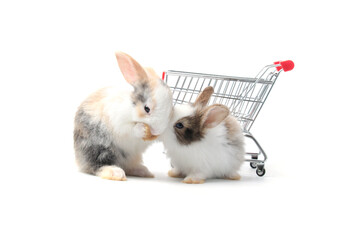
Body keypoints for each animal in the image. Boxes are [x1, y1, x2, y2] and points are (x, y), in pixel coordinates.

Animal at [73, 52, 173, 180]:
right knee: (95, 165)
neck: (132, 110)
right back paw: (116, 172)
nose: (157, 131)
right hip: (98, 148)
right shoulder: (118, 122)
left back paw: (144, 172)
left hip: (131, 156)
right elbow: (129, 129)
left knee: (128, 166)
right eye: (147, 109)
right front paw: (141, 129)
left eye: (171, 109)